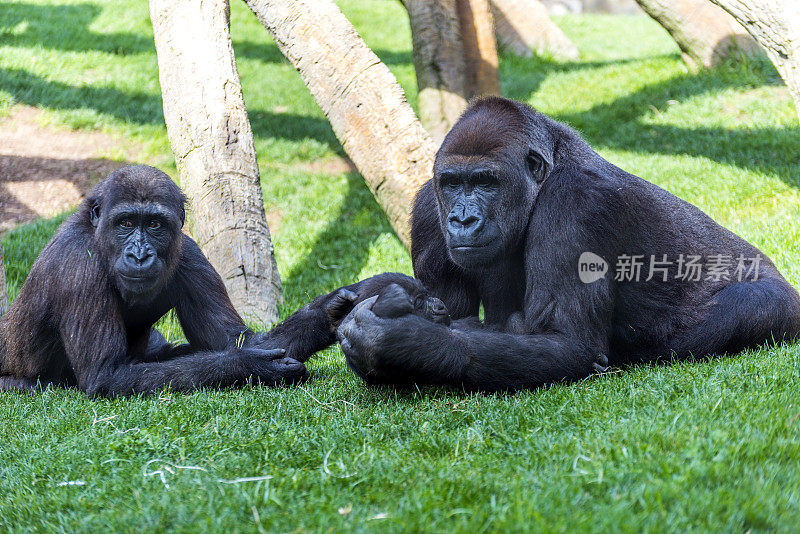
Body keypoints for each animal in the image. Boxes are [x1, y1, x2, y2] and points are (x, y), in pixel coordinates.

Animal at [0, 168, 306, 398]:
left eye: (154, 225)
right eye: (125, 223)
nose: (139, 255)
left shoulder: (189, 253)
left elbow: (242, 339)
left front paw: (317, 315)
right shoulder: (78, 265)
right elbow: (106, 376)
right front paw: (249, 365)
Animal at [338, 96, 800, 392]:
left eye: (486, 182)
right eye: (453, 184)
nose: (462, 219)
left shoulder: (575, 204)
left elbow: (568, 343)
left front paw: (406, 344)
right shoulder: (426, 207)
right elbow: (446, 307)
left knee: (751, 304)